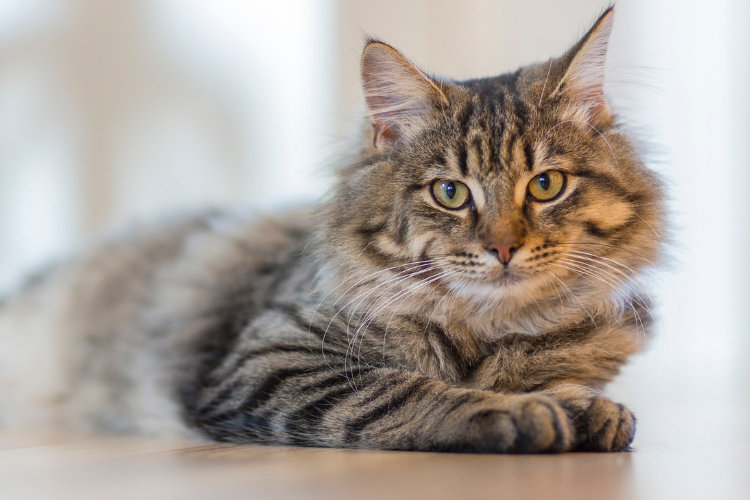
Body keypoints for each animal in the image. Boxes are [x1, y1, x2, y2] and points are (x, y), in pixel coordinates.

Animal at [0, 6, 664, 454]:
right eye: (450, 193)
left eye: (546, 185)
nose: (502, 247)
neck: (490, 331)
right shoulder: (271, 358)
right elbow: (406, 390)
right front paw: (524, 410)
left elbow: (570, 381)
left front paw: (588, 406)